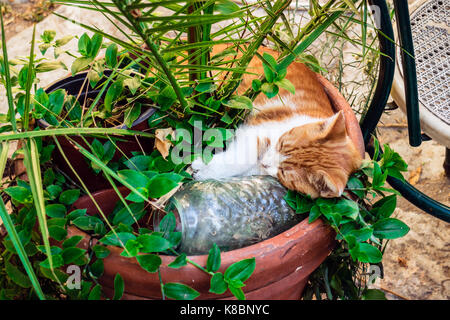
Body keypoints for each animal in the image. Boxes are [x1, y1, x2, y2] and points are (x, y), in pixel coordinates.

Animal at [190, 46, 362, 199]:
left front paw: (206, 170)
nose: (265, 162)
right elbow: (246, 156)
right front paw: (203, 167)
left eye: (284, 172)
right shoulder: (257, 129)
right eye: (282, 144)